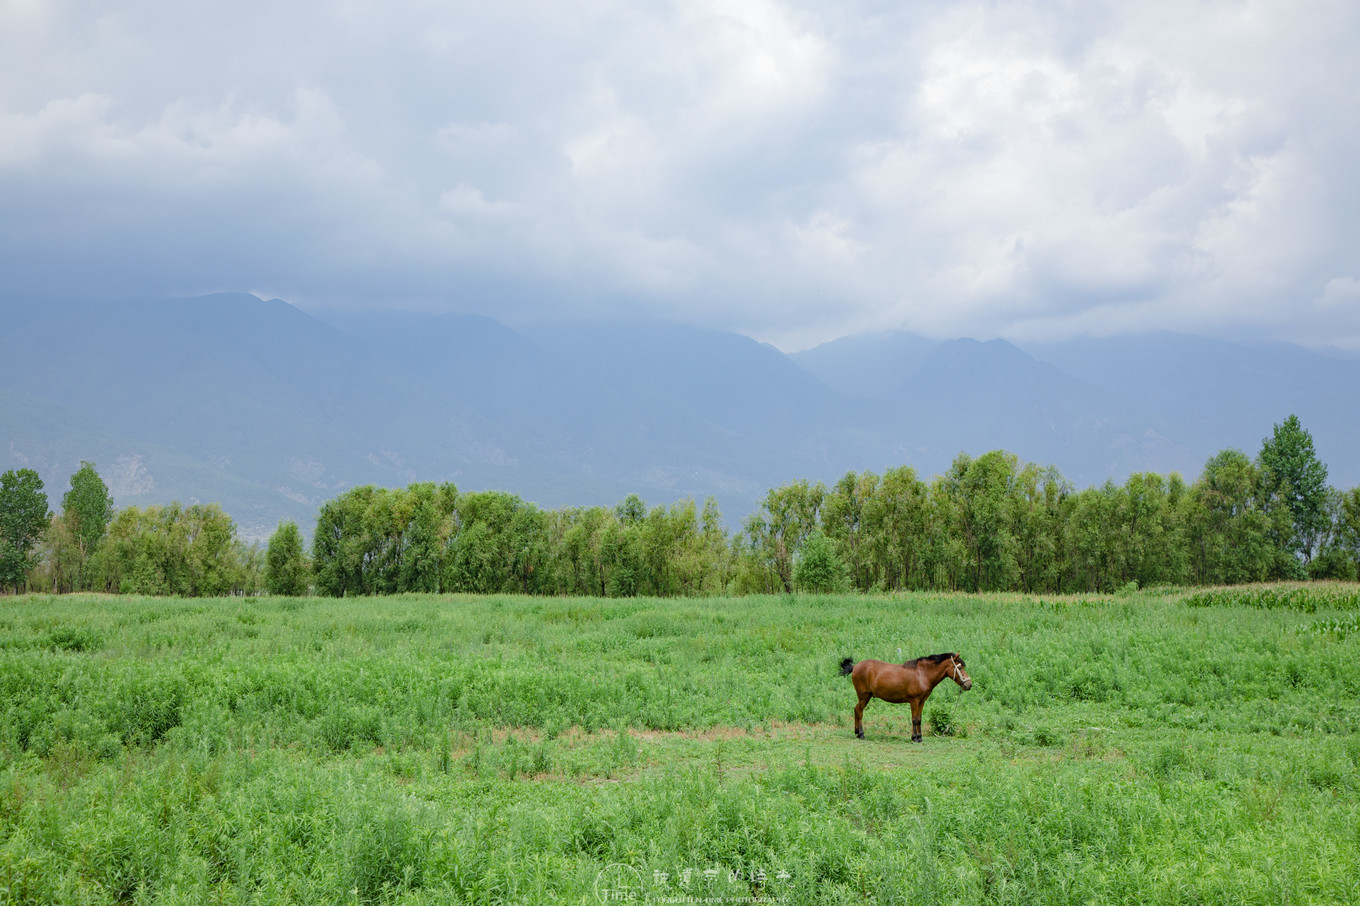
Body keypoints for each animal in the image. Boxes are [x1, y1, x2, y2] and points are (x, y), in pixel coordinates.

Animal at [832, 652, 973, 740]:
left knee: (857, 710)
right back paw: (861, 734)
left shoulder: (922, 701)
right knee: (859, 711)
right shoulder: (914, 701)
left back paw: (857, 733)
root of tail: (855, 666)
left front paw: (919, 737)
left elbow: (919, 719)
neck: (922, 674)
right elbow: (915, 719)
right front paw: (915, 738)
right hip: (864, 696)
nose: (969, 684)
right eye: (960, 667)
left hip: (866, 696)